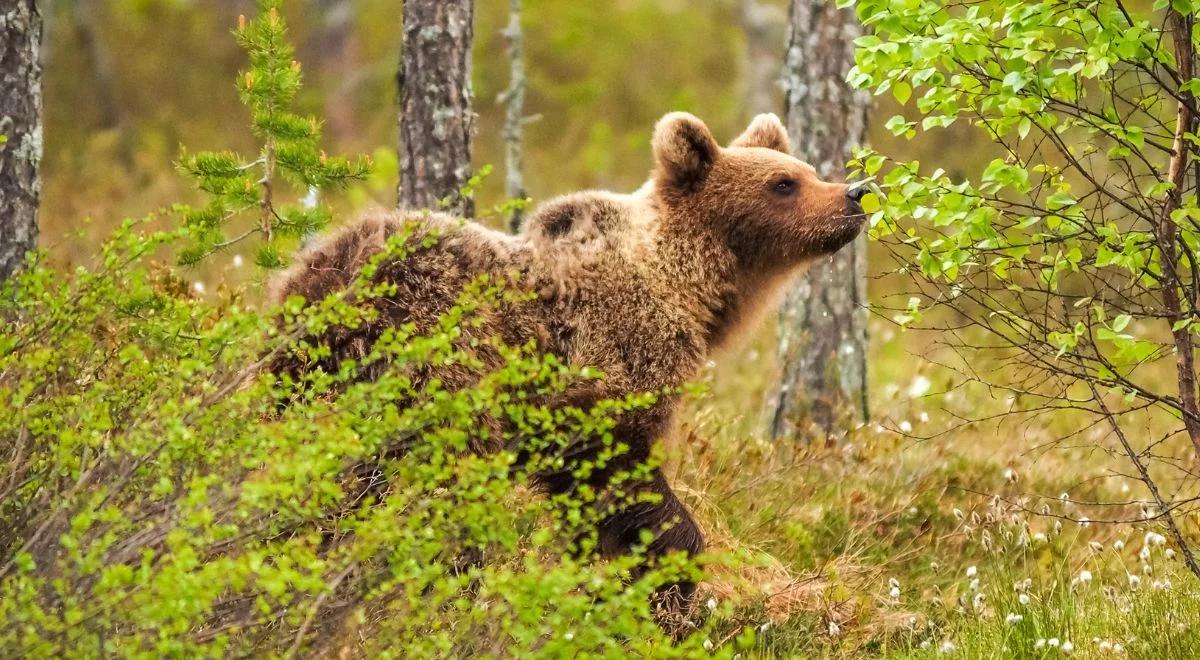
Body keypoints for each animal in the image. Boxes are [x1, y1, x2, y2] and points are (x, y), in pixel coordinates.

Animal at [267, 112, 868, 619]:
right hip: (429, 360)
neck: (687, 287)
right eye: (783, 183)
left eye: (809, 171)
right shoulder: (610, 364)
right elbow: (619, 476)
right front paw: (670, 581)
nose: (855, 194)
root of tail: (322, 279)